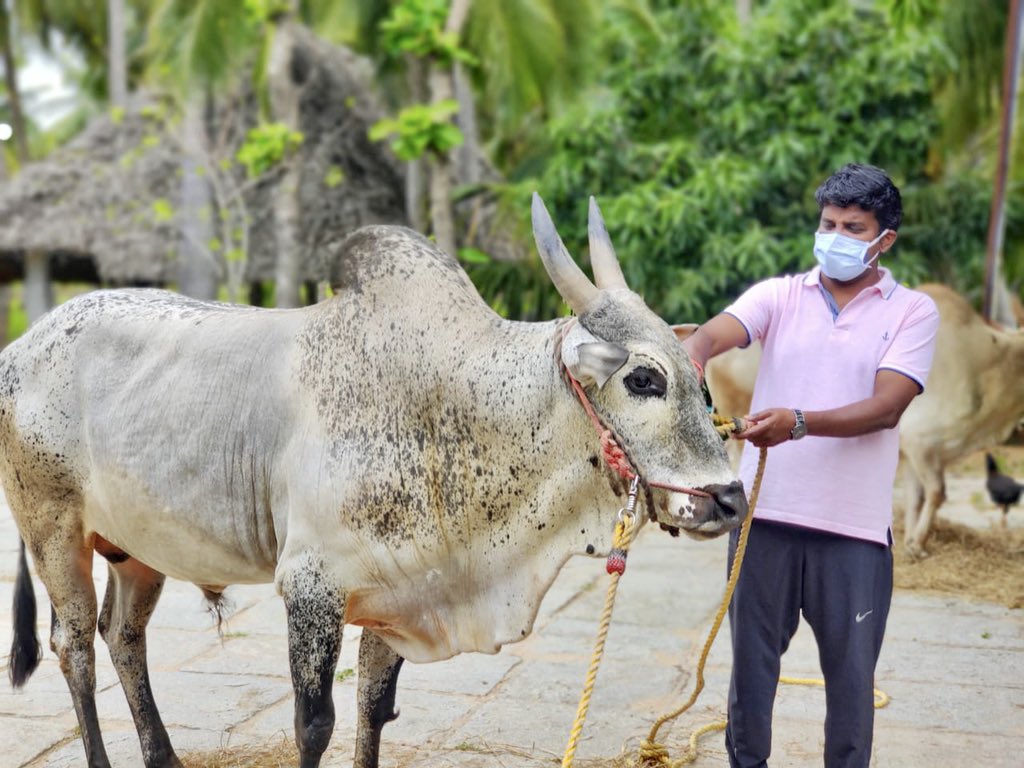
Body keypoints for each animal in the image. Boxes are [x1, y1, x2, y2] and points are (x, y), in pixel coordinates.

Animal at [2, 195, 747, 768]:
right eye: (644, 379)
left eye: (698, 373)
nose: (730, 498)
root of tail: (21, 345)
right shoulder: (311, 588)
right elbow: (314, 725)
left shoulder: (400, 591)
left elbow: (373, 708)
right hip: (52, 530)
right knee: (74, 647)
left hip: (137, 550)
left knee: (123, 638)